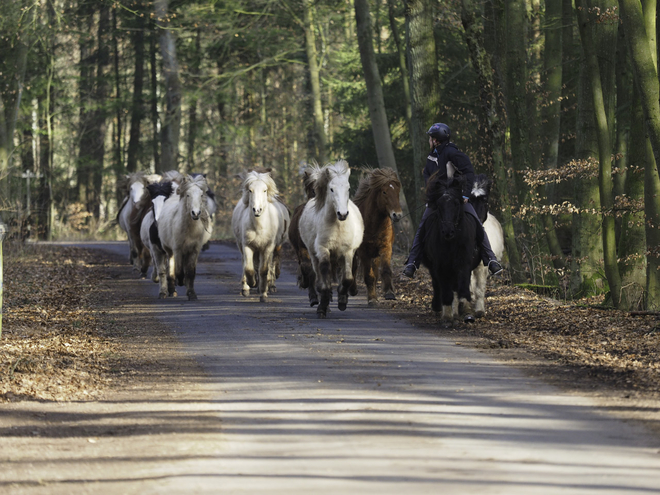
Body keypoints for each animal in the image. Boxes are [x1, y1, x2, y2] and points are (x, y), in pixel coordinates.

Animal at [233, 170, 290, 302]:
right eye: (250, 190)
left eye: (265, 190)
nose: (257, 210)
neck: (259, 227)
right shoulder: (247, 245)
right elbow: (249, 268)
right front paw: (251, 284)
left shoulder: (268, 247)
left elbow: (264, 270)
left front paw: (263, 294)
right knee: (246, 263)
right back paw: (247, 287)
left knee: (270, 263)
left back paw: (269, 286)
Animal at [300, 161, 366, 320]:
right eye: (331, 189)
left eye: (348, 188)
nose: (342, 214)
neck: (337, 225)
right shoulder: (323, 249)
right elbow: (324, 279)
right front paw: (322, 308)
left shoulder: (347, 252)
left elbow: (347, 278)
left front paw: (342, 301)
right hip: (313, 254)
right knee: (319, 275)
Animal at [354, 169, 404, 304]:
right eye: (384, 192)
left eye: (397, 191)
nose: (397, 215)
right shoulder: (363, 252)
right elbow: (368, 275)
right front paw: (372, 298)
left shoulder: (385, 248)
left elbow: (385, 271)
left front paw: (389, 293)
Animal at [422, 175, 480, 326]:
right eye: (439, 205)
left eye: (456, 204)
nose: (448, 231)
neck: (452, 241)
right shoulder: (441, 265)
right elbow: (445, 289)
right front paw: (447, 316)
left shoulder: (464, 262)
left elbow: (463, 285)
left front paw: (467, 312)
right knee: (437, 285)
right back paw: (439, 307)